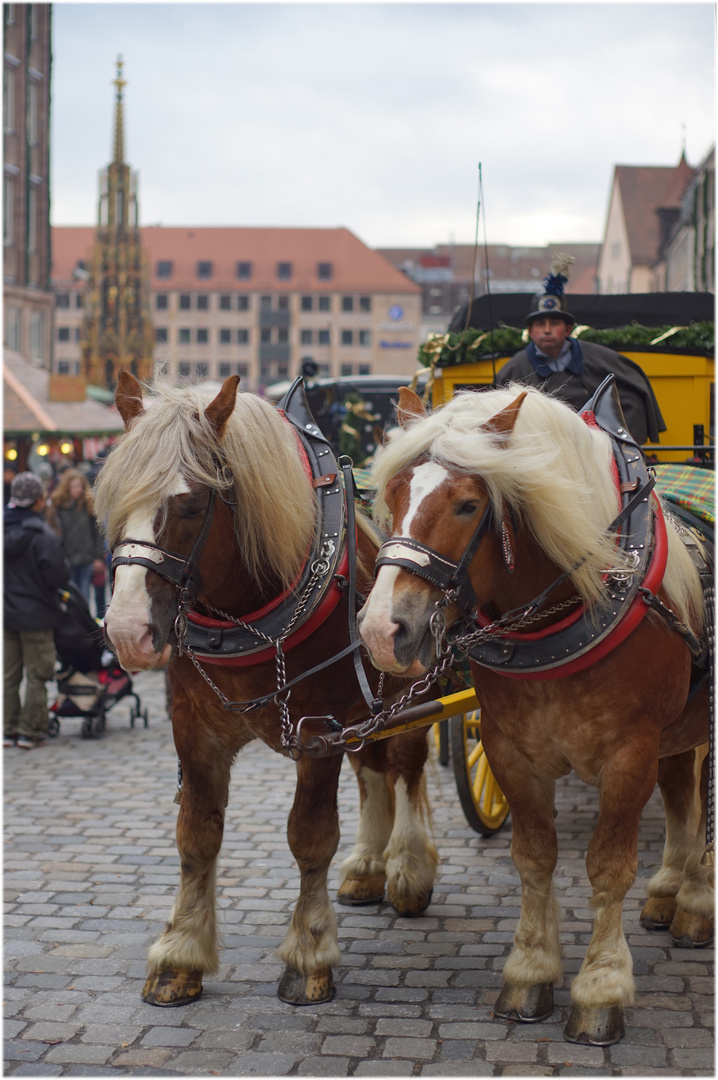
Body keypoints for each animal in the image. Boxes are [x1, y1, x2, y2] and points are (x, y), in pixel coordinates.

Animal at [94, 373, 436, 1010]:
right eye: (111, 499)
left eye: (192, 504)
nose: (127, 632)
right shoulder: (193, 729)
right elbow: (196, 835)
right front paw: (180, 954)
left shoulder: (320, 730)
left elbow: (310, 836)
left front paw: (309, 954)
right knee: (373, 770)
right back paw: (368, 867)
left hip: (407, 688)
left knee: (405, 766)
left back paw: (407, 868)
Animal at [358, 382, 712, 1045]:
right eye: (390, 495)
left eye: (468, 504)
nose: (381, 632)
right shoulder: (509, 750)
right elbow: (534, 855)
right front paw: (530, 972)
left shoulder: (630, 754)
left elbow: (607, 865)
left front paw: (601, 988)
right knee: (683, 793)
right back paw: (670, 891)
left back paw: (697, 902)